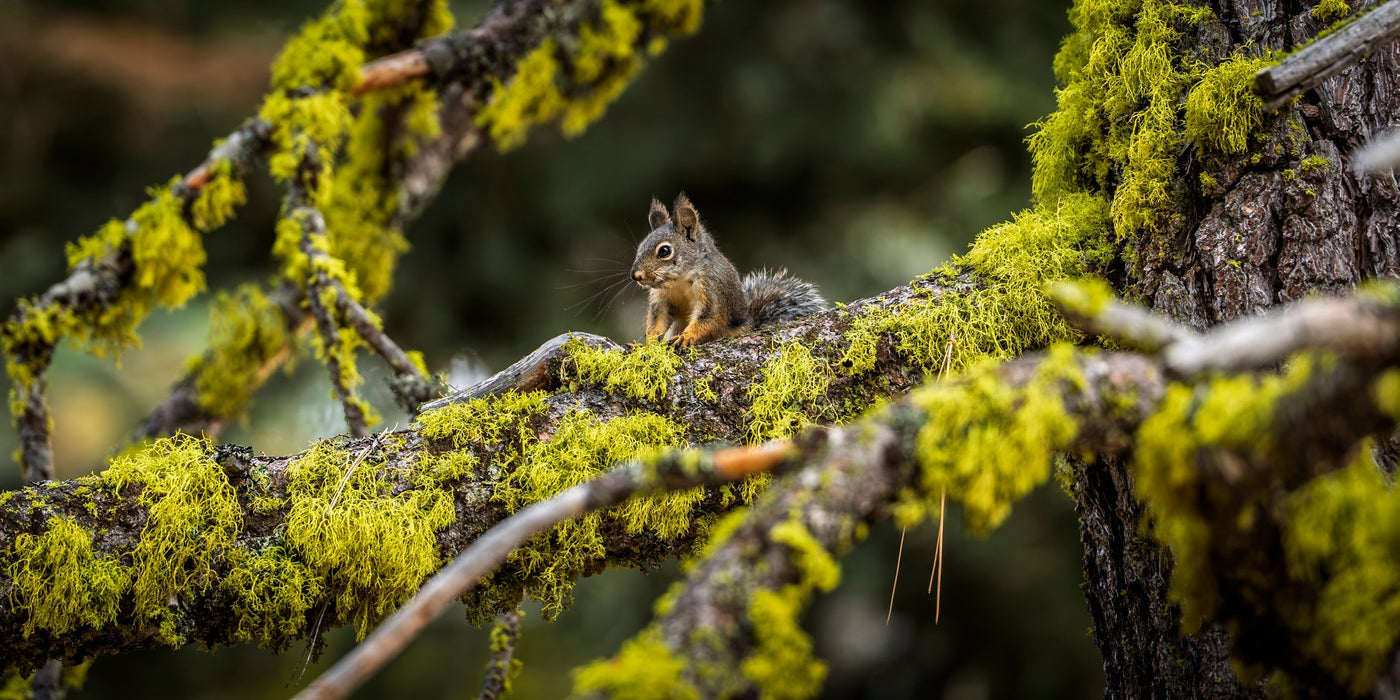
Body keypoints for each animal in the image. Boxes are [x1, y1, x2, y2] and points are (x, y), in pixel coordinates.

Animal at [630, 194, 827, 347]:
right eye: (640, 247)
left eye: (664, 251)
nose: (636, 275)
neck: (680, 280)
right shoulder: (662, 299)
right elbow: (657, 320)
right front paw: (649, 344)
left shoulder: (714, 290)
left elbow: (710, 318)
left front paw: (685, 337)